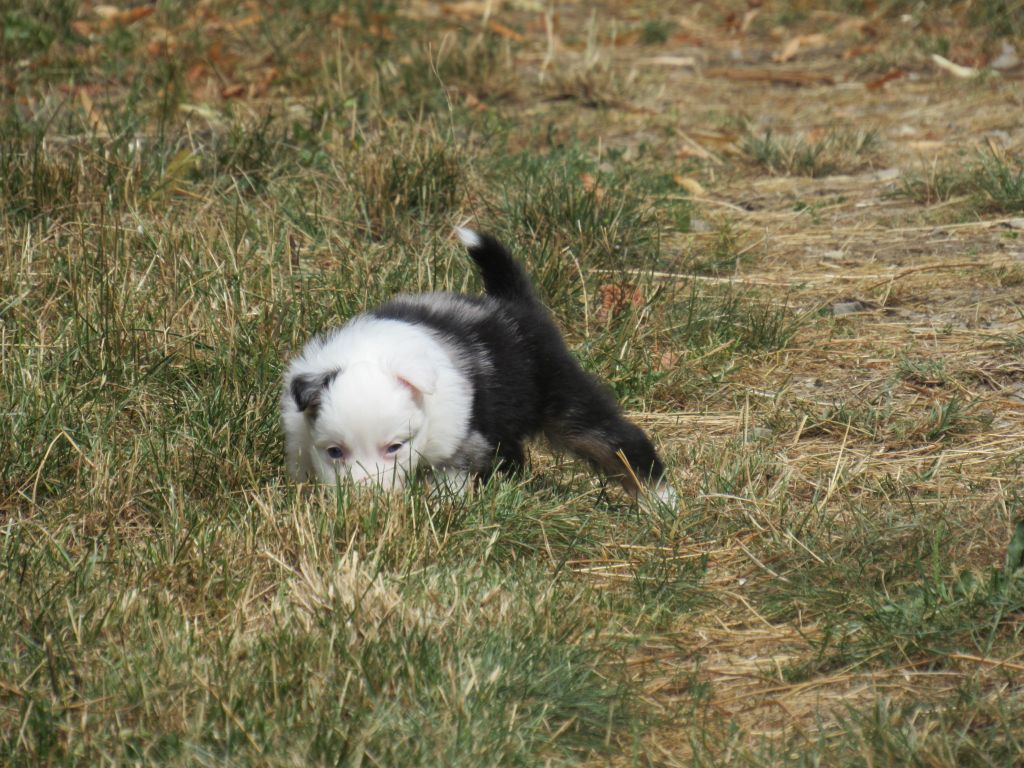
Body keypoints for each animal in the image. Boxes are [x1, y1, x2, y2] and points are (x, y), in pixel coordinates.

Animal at [281, 228, 675, 504]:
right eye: (334, 452)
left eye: (395, 447)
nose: (366, 500)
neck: (370, 353)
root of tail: (512, 305)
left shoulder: (461, 441)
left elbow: (450, 480)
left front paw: (441, 509)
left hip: (565, 402)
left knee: (618, 441)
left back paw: (659, 500)